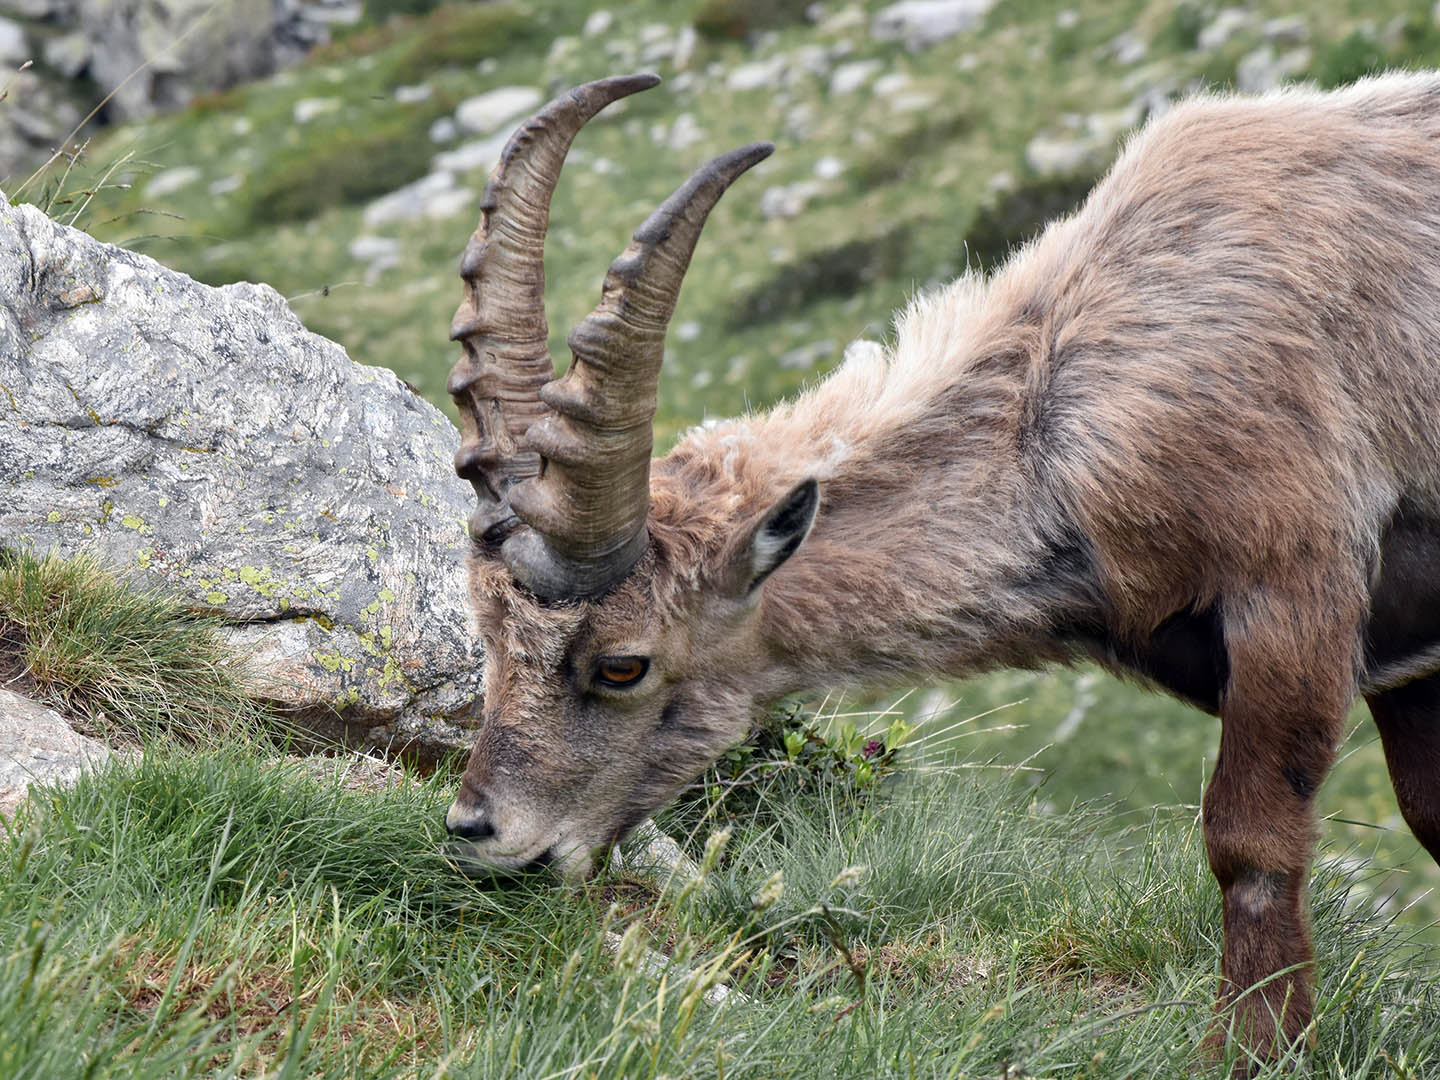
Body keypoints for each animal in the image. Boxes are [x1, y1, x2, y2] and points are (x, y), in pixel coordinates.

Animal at [443, 72, 1440, 1059]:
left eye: (623, 665)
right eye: (487, 632)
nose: (478, 833)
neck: (1075, 405)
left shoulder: (1294, 595)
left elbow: (1250, 844)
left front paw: (1253, 1050)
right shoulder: (1411, 661)